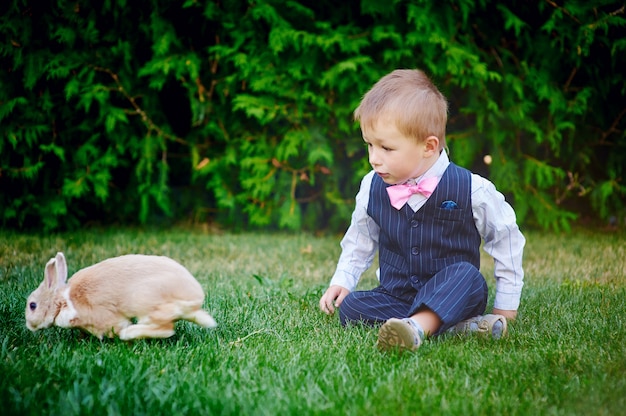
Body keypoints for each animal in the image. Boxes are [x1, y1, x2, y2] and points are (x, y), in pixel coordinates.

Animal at [25, 252, 217, 340]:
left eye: (32, 305)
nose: (28, 325)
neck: (62, 301)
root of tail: (195, 299)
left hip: (146, 303)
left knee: (166, 329)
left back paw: (130, 333)